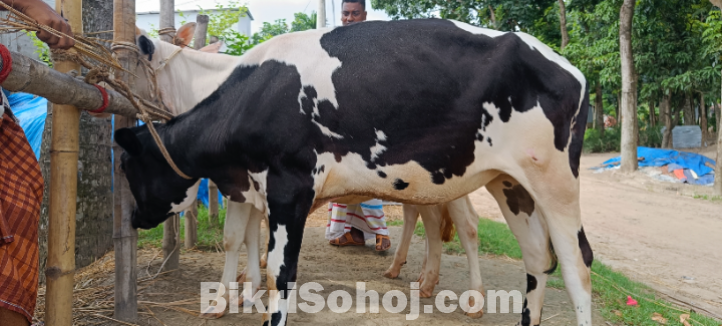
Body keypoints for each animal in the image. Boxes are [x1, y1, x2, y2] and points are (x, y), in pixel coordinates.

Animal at [116, 18, 592, 326]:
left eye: (128, 165)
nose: (134, 217)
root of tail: (566, 66)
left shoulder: (289, 188)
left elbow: (279, 271)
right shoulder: (251, 188)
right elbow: (248, 246)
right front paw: (239, 297)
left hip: (554, 184)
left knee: (574, 268)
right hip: (508, 184)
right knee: (536, 259)